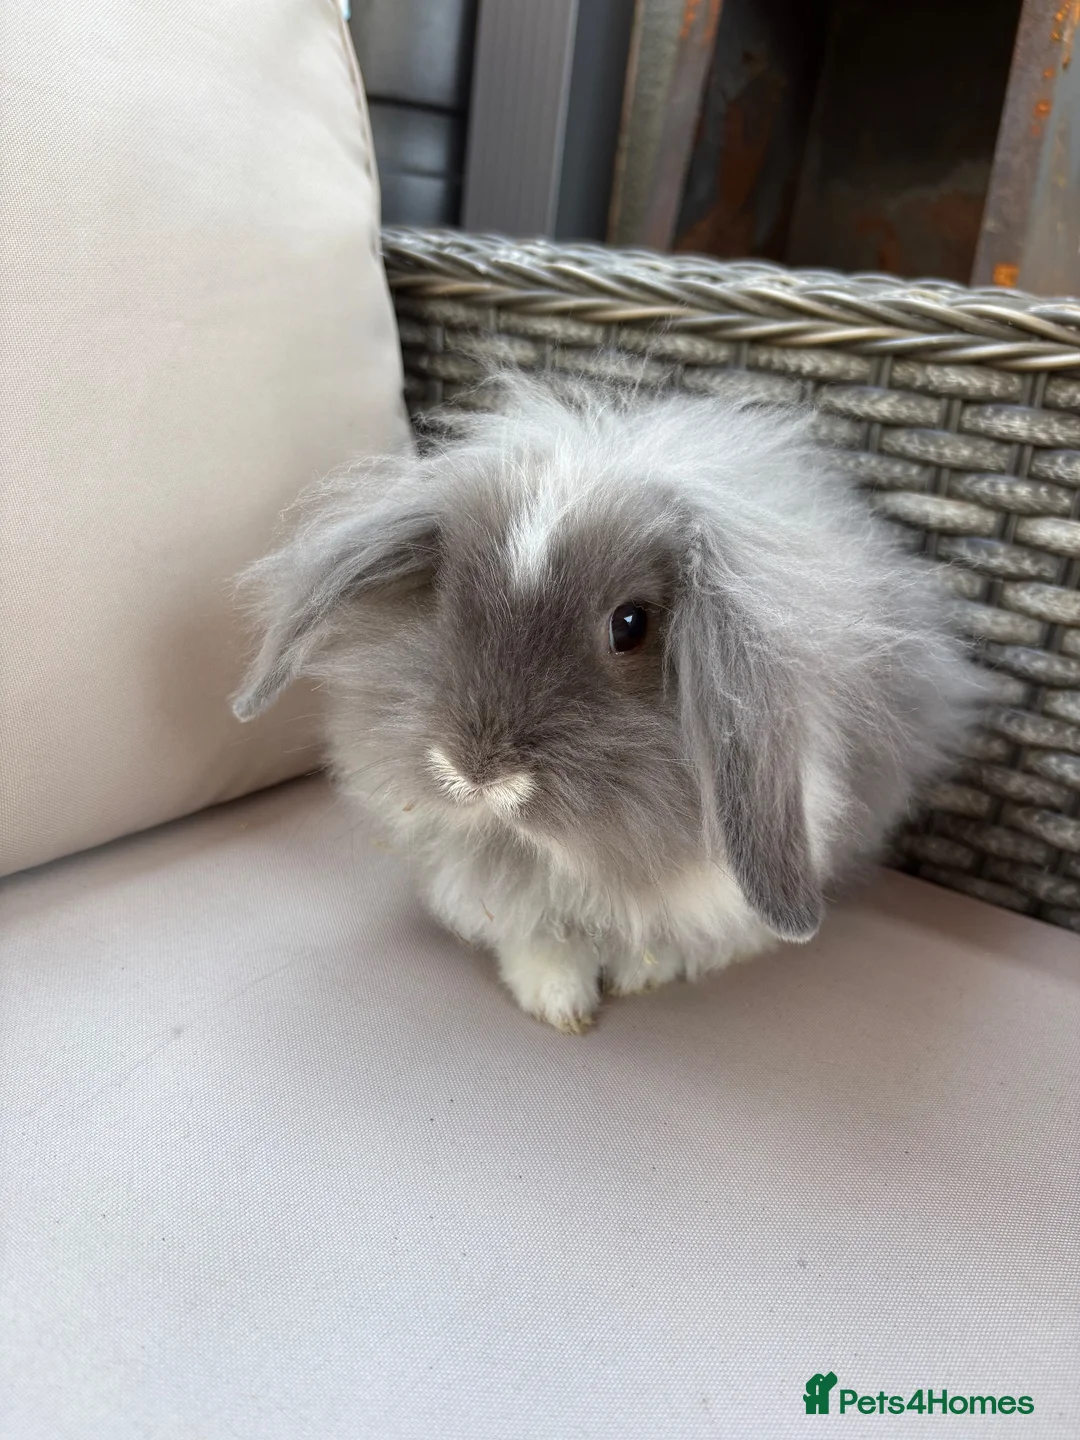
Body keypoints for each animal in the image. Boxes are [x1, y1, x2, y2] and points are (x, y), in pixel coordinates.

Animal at [232, 374, 983, 1033]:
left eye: (630, 625)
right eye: (442, 596)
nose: (477, 774)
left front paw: (639, 974)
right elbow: (534, 938)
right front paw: (559, 1002)